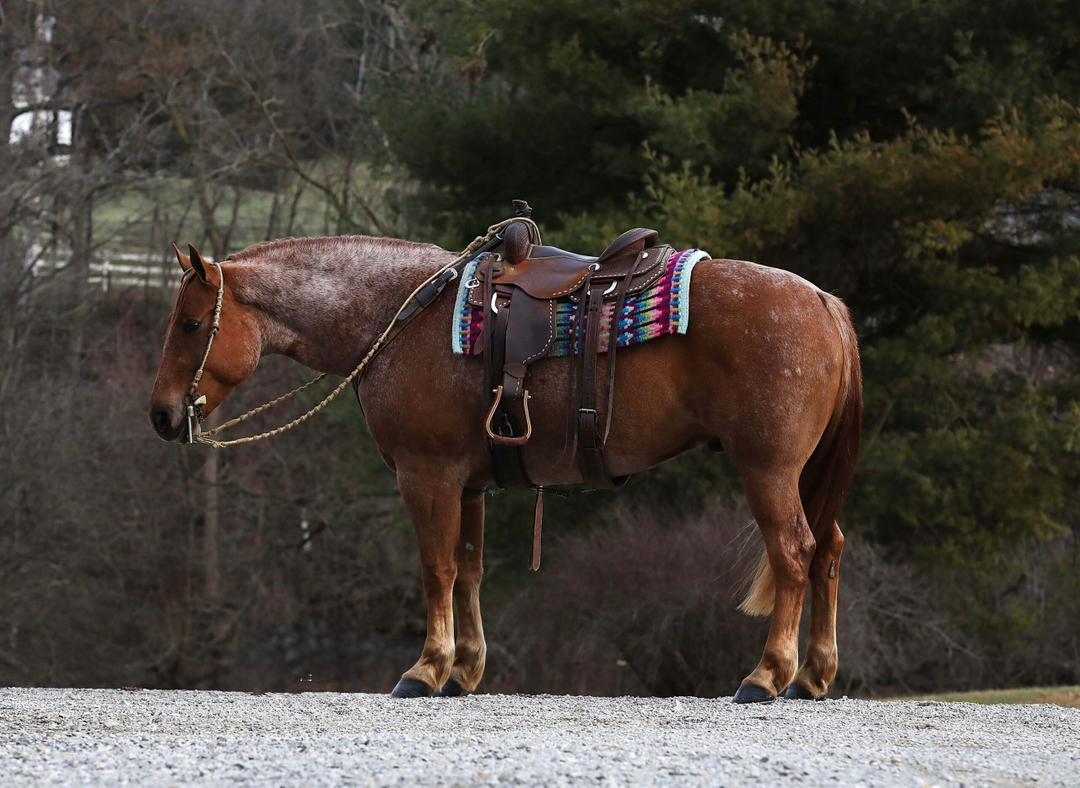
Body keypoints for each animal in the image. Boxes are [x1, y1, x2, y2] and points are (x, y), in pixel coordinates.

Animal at [149, 233, 862, 703]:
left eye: (191, 325)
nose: (160, 414)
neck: (401, 317)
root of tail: (824, 301)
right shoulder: (469, 486)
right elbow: (468, 570)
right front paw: (463, 670)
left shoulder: (427, 476)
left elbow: (436, 569)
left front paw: (425, 669)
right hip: (801, 476)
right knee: (828, 550)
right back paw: (814, 675)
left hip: (768, 470)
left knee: (795, 553)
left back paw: (767, 675)